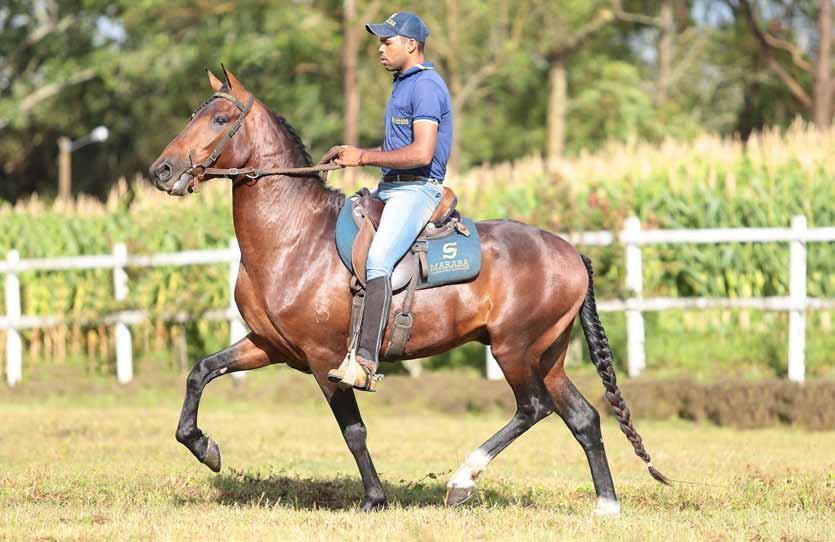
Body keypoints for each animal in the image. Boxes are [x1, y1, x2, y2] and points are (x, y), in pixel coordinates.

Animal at [149, 69, 668, 520]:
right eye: (194, 114)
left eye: (219, 119)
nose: (162, 170)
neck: (295, 237)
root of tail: (572, 254)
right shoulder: (268, 345)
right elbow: (200, 372)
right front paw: (205, 448)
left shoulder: (324, 359)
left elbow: (354, 431)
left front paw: (374, 499)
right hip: (548, 354)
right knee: (582, 417)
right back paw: (606, 504)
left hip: (514, 349)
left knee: (533, 407)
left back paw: (462, 479)